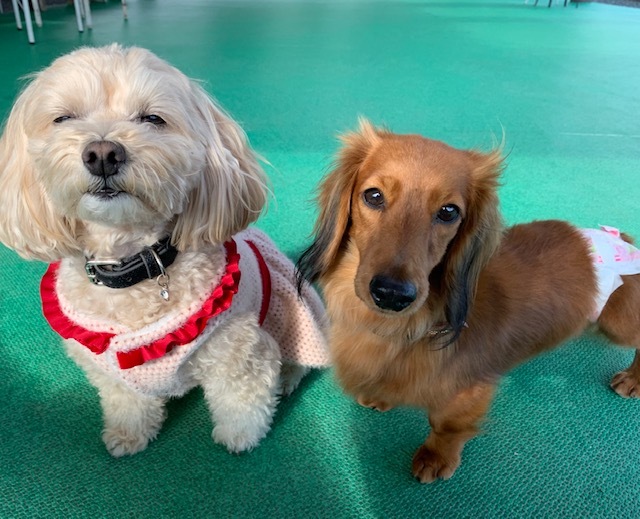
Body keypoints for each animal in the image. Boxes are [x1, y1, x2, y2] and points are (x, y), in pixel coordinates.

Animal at [0, 45, 329, 457]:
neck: (130, 269)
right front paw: (128, 434)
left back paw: (287, 377)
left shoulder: (239, 352)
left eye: (153, 119)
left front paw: (241, 438)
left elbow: (240, 402)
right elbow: (127, 402)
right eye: (63, 118)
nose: (103, 153)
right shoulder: (110, 371)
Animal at [296, 119, 640, 483]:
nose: (392, 294)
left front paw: (436, 458)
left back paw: (633, 379)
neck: (405, 326)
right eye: (373, 195)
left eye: (449, 212)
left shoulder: (469, 391)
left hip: (617, 325)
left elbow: (446, 426)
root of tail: (620, 238)